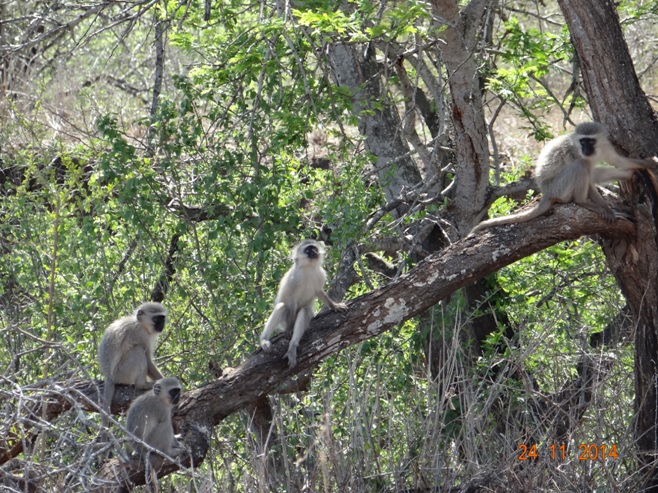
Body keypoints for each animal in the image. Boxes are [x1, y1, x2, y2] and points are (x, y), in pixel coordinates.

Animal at [258, 238, 348, 366]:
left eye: (314, 248)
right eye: (308, 250)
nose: (314, 252)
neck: (308, 268)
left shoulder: (320, 274)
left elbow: (319, 292)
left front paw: (334, 306)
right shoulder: (294, 278)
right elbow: (291, 299)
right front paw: (289, 329)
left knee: (304, 311)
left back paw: (292, 347)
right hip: (283, 320)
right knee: (282, 306)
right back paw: (265, 339)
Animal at [468, 120, 652, 234]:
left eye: (590, 141)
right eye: (582, 142)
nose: (585, 149)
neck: (593, 151)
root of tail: (546, 193)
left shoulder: (605, 145)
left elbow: (617, 160)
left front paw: (648, 164)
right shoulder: (573, 151)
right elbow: (587, 177)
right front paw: (606, 209)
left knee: (593, 172)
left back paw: (627, 175)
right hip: (559, 187)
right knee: (581, 167)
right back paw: (583, 201)